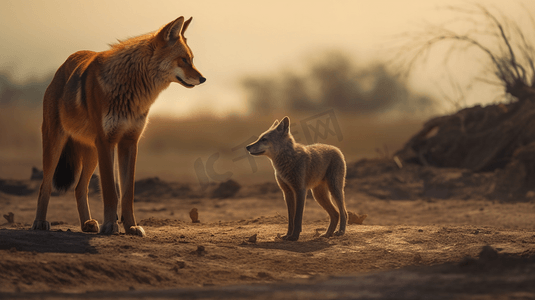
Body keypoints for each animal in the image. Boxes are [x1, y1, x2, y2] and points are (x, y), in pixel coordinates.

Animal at [32, 17, 205, 237]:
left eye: (191, 59)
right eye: (184, 60)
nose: (203, 79)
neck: (132, 89)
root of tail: (64, 65)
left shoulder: (129, 142)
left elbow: (127, 194)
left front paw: (131, 226)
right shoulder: (107, 142)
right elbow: (110, 191)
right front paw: (109, 225)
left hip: (92, 153)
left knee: (80, 188)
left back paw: (87, 223)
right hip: (57, 145)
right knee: (44, 186)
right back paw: (40, 222)